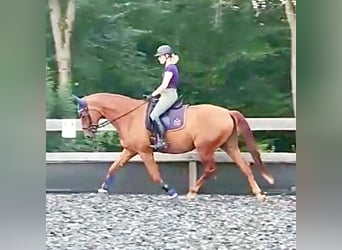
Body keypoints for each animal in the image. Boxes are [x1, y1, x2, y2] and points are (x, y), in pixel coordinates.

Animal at [73, 93, 274, 202]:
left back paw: (191, 193)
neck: (129, 116)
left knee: (210, 169)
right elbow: (113, 168)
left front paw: (171, 192)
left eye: (82, 115)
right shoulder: (130, 150)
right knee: (244, 166)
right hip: (229, 145)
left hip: (205, 148)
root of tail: (227, 112)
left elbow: (154, 175)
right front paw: (103, 189)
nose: (88, 134)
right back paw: (259, 195)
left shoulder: (144, 151)